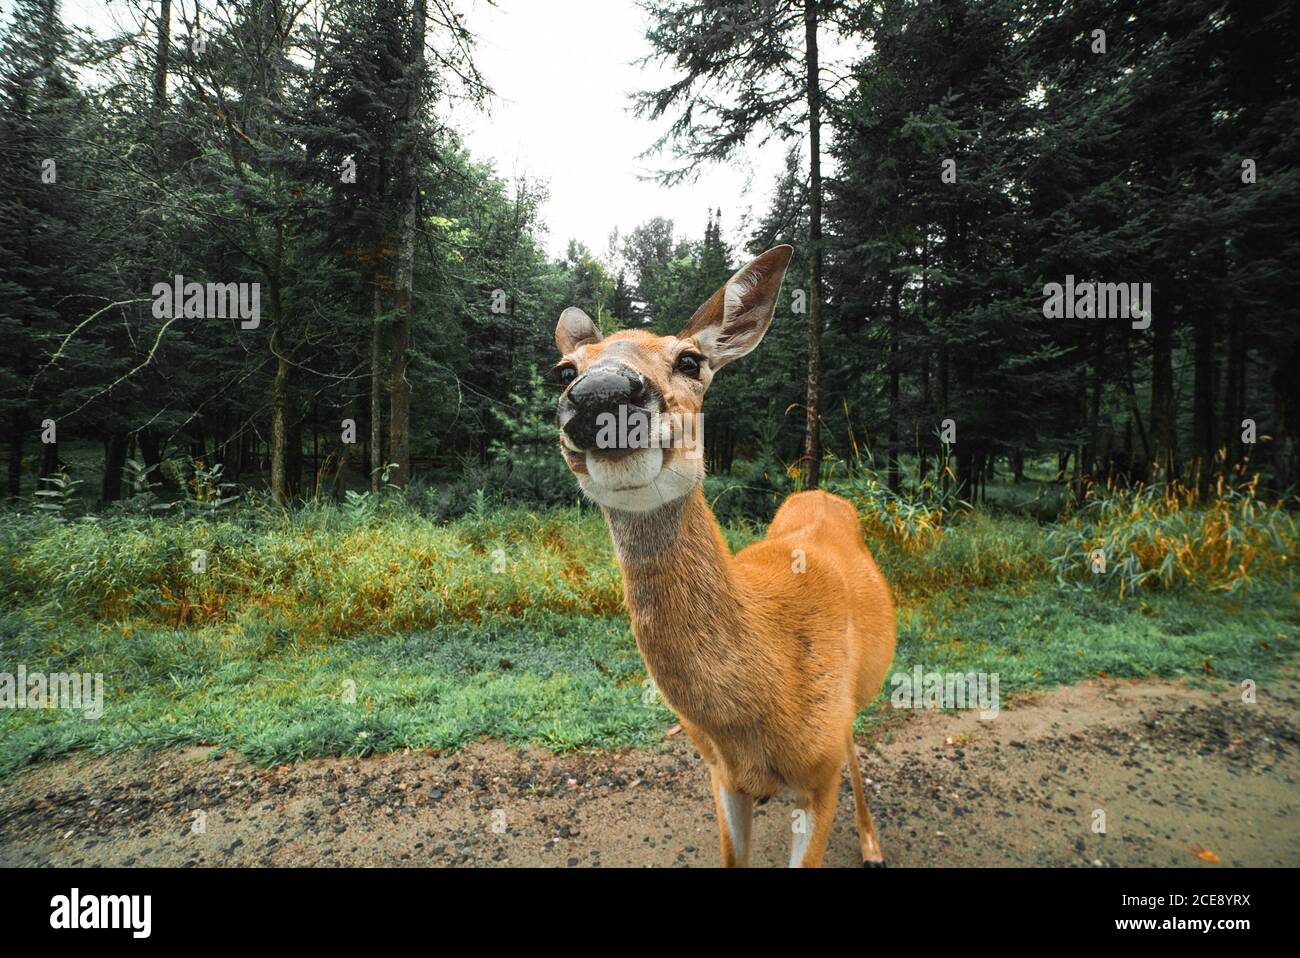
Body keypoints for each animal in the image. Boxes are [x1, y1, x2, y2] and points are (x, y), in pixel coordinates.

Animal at [552, 245, 897, 867]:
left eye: (691, 361)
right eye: (565, 370)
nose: (601, 393)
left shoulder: (820, 780)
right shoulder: (720, 777)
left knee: (856, 745)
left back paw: (872, 845)